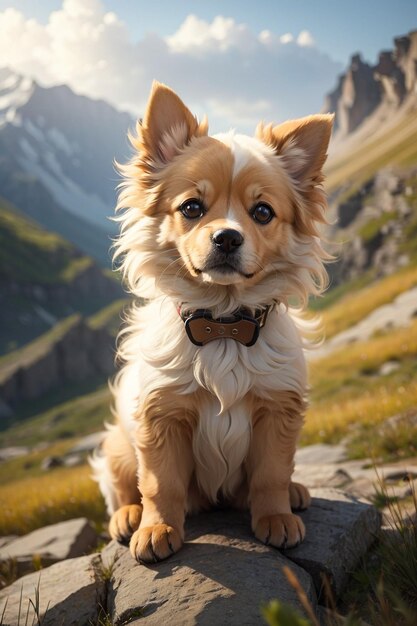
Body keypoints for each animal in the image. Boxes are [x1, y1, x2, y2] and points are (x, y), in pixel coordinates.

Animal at [91, 80, 332, 564]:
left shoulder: (278, 409)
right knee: (124, 487)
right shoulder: (160, 415)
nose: (227, 237)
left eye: (263, 213)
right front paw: (158, 528)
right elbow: (160, 483)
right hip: (117, 445)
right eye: (191, 207)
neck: (223, 326)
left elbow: (271, 475)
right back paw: (128, 517)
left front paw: (275, 517)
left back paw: (296, 492)